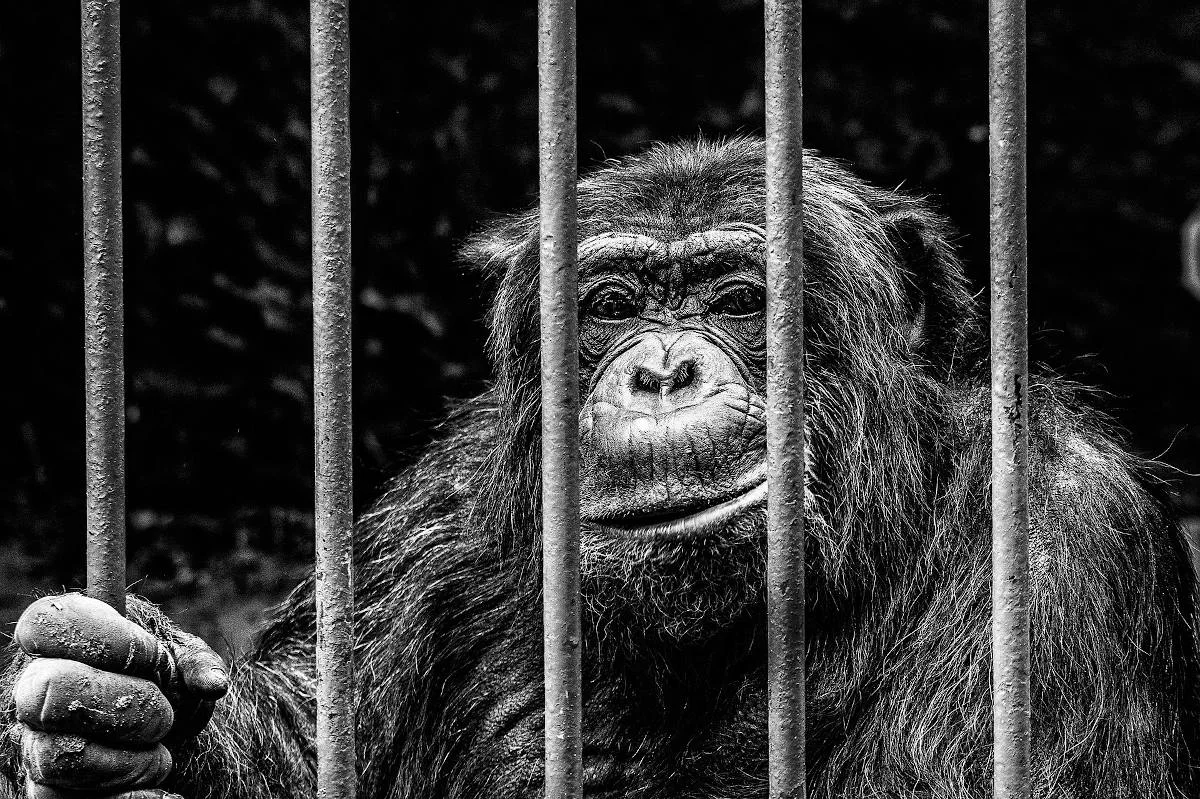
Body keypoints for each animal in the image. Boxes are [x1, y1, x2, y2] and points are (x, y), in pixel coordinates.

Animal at [3, 137, 1197, 798]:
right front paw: (117, 696)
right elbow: (310, 749)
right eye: (613, 307)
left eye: (739, 299)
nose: (661, 371)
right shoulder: (436, 515)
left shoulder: (1060, 547)